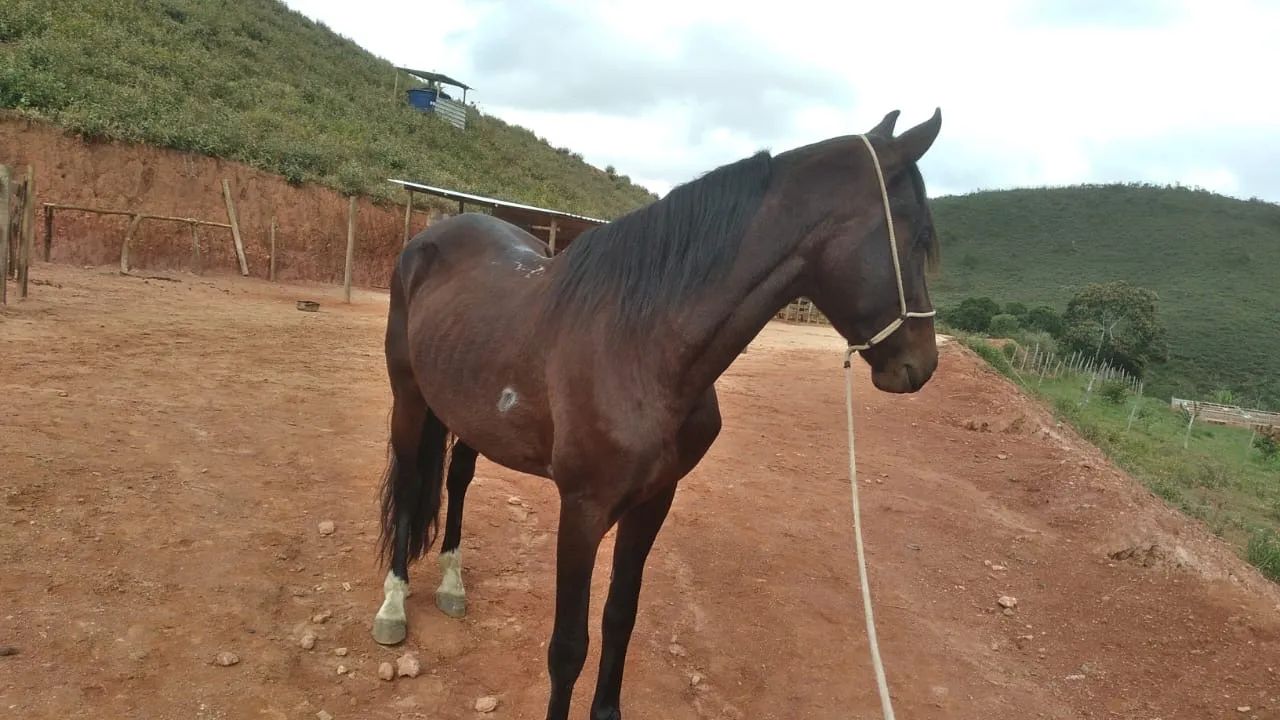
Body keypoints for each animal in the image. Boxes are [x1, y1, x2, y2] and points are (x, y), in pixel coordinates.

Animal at [371, 108, 943, 719]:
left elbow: (620, 617)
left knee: (457, 479)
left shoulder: (653, 501)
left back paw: (452, 586)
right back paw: (394, 606)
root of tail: (430, 237)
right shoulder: (582, 510)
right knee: (410, 485)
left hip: (468, 413)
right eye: (918, 237)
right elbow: (567, 647)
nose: (921, 364)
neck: (640, 342)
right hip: (409, 400)